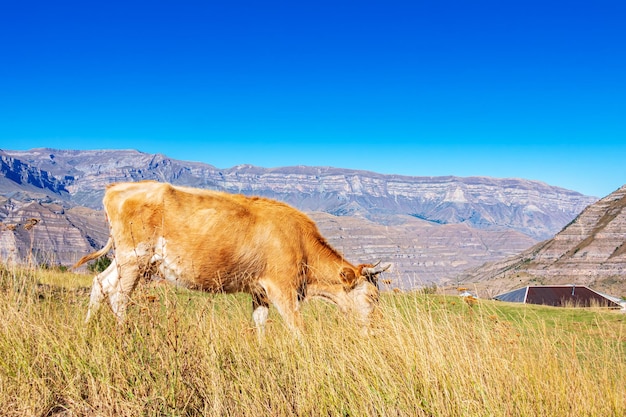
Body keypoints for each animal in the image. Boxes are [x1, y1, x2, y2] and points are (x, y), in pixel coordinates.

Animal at [73, 180, 386, 334]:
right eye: (372, 297)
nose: (377, 328)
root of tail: (116, 188)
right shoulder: (281, 288)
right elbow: (298, 328)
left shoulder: (259, 290)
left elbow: (260, 325)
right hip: (135, 258)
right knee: (118, 296)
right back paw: (123, 337)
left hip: (127, 258)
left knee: (100, 284)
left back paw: (87, 330)